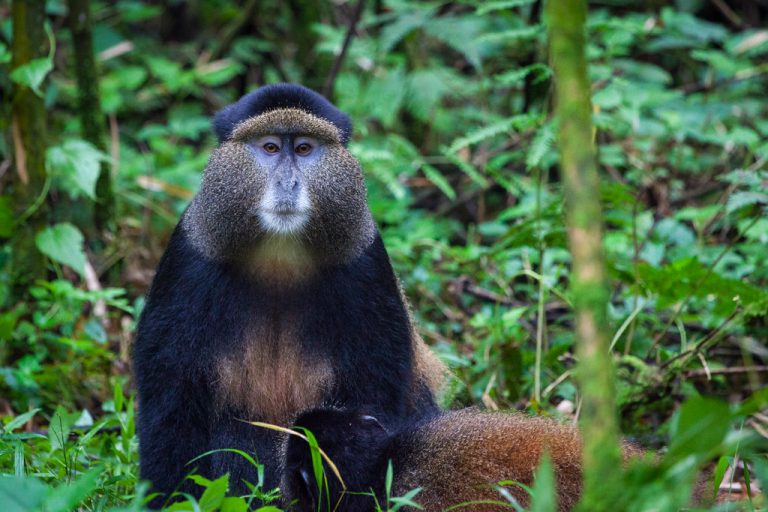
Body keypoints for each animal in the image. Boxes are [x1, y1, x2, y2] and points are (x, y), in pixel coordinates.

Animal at [133, 83, 446, 506]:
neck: (279, 253)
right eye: (269, 147)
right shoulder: (187, 260)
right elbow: (170, 404)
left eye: (303, 148)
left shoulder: (367, 264)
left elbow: (375, 393)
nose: (288, 183)